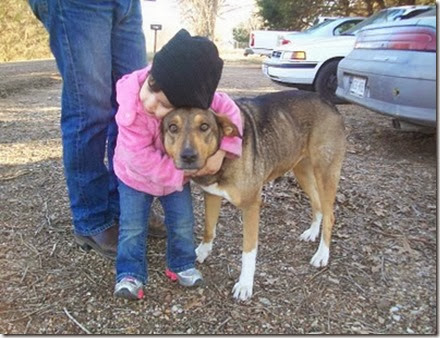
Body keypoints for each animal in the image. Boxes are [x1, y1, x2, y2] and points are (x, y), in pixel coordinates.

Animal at [162, 90, 348, 302]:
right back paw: (312, 232)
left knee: (330, 215)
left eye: (204, 126)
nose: (188, 156)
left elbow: (248, 250)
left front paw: (244, 284)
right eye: (172, 128)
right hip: (302, 170)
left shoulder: (251, 205)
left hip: (325, 173)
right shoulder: (211, 194)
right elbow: (209, 229)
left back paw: (322, 254)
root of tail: (328, 102)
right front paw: (202, 252)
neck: (224, 156)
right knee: (317, 204)